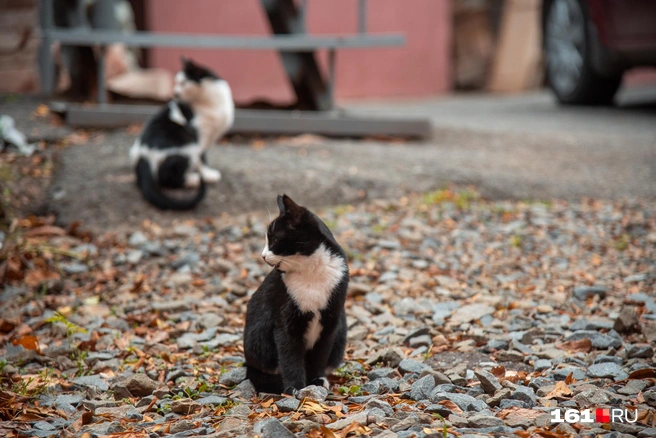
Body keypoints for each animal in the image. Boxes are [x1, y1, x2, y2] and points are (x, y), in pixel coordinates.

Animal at [129, 57, 233, 210]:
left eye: (183, 83)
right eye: (177, 82)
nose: (175, 93)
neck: (211, 102)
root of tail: (143, 156)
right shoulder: (198, 136)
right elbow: (202, 159)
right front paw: (207, 174)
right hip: (188, 147)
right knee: (169, 179)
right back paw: (194, 179)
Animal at [245, 194, 348, 394]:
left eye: (274, 240)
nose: (262, 255)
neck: (311, 272)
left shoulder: (331, 322)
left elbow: (320, 354)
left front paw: (316, 380)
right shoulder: (285, 322)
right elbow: (289, 355)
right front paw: (295, 387)